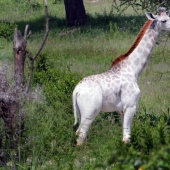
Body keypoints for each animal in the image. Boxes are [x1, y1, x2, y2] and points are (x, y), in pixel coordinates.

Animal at [72, 7, 170, 145]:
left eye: (169, 17)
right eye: (164, 20)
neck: (133, 69)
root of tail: (76, 91)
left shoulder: (121, 110)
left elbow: (124, 135)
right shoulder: (130, 105)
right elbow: (127, 138)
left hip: (81, 113)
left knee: (81, 135)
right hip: (90, 112)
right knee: (80, 134)